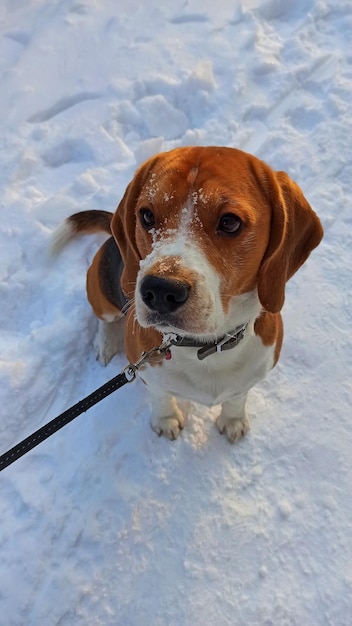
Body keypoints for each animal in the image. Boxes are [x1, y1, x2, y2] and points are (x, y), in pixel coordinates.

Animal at [51, 146, 324, 442]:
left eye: (230, 222)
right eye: (146, 215)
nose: (160, 290)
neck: (206, 347)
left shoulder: (252, 374)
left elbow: (237, 397)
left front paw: (233, 419)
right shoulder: (148, 373)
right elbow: (161, 397)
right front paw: (166, 420)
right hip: (100, 291)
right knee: (103, 319)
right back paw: (105, 344)